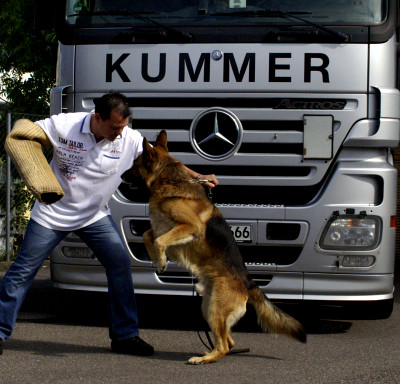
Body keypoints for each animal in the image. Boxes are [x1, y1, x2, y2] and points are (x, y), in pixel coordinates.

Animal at [122, 130, 306, 364]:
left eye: (134, 164)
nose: (121, 176)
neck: (169, 178)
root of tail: (248, 282)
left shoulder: (191, 227)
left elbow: (158, 240)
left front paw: (161, 261)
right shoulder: (162, 227)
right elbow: (148, 236)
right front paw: (156, 259)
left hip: (214, 309)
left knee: (224, 347)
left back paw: (203, 359)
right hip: (208, 307)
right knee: (229, 341)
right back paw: (208, 353)